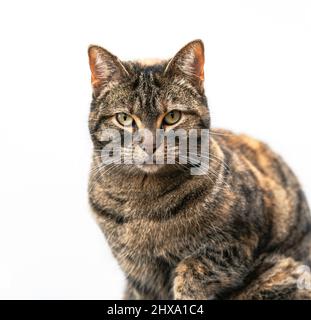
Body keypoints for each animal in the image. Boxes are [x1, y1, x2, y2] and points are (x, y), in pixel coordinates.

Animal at [87, 40, 311, 300]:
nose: (149, 145)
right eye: (124, 118)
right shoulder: (139, 274)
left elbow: (192, 271)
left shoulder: (234, 246)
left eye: (172, 116)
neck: (144, 202)